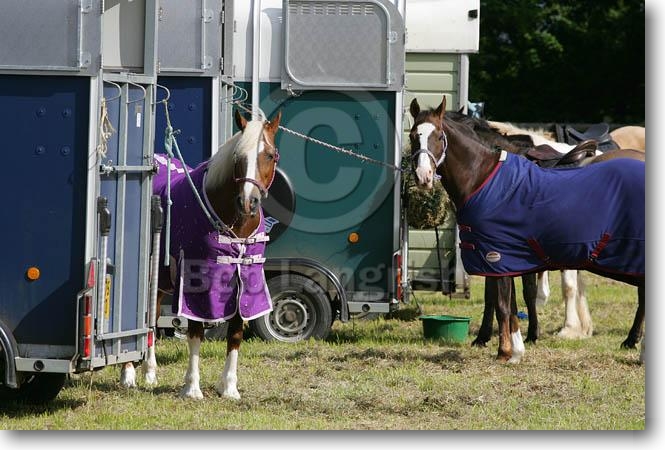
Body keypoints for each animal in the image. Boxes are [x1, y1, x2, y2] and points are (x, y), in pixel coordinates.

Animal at [119, 108, 282, 399]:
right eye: (238, 157)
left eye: (270, 155)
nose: (248, 202)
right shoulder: (197, 282)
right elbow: (195, 332)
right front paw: (192, 387)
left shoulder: (243, 278)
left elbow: (236, 332)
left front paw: (229, 387)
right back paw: (128, 373)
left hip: (158, 279)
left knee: (150, 316)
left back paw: (149, 372)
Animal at [408, 96, 645, 363]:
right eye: (413, 136)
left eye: (439, 136)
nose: (423, 176)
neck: (486, 176)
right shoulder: (504, 255)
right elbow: (508, 301)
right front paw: (514, 343)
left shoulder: (498, 253)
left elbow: (504, 301)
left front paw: (505, 349)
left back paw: (631, 340)